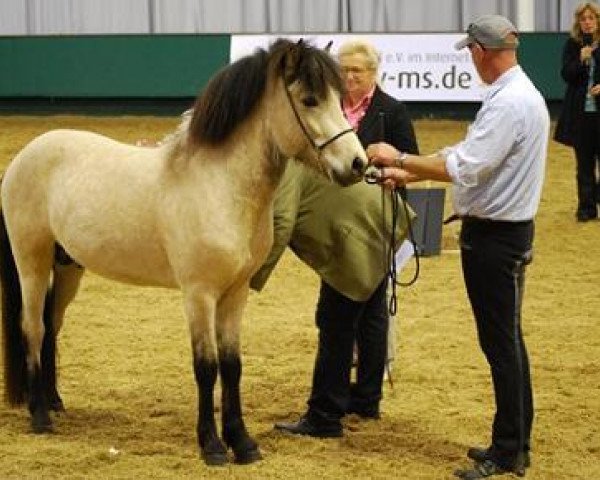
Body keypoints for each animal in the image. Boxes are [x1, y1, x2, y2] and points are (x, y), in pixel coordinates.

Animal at [1, 39, 366, 466]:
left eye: (340, 98)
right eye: (309, 100)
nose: (358, 163)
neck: (218, 185)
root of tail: (26, 155)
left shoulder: (235, 294)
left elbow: (232, 365)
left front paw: (243, 443)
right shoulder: (199, 294)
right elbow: (206, 367)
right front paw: (212, 446)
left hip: (68, 268)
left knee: (52, 327)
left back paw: (55, 402)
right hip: (32, 263)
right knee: (32, 327)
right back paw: (40, 416)